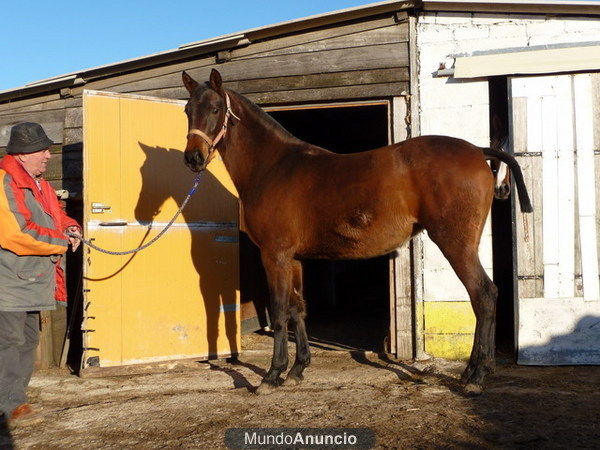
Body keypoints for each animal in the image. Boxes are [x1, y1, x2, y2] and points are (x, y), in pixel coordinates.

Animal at [180, 68, 532, 396]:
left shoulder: (275, 255)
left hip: (456, 244)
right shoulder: (293, 258)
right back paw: (470, 372)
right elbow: (297, 308)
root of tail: (478, 151)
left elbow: (280, 312)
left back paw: (476, 377)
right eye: (187, 110)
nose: (193, 158)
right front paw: (297, 370)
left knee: (483, 295)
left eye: (215, 109)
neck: (274, 167)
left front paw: (272, 375)